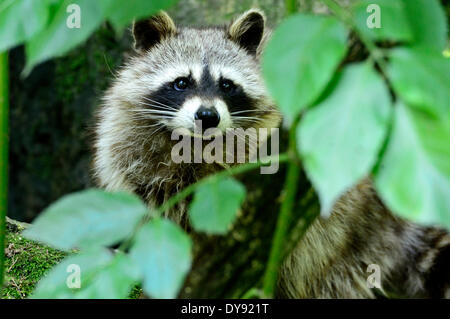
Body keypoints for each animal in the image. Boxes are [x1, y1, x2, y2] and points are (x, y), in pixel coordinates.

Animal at [93, 10, 448, 300]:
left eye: (227, 85)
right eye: (182, 82)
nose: (208, 116)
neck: (194, 145)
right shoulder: (128, 145)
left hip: (350, 234)